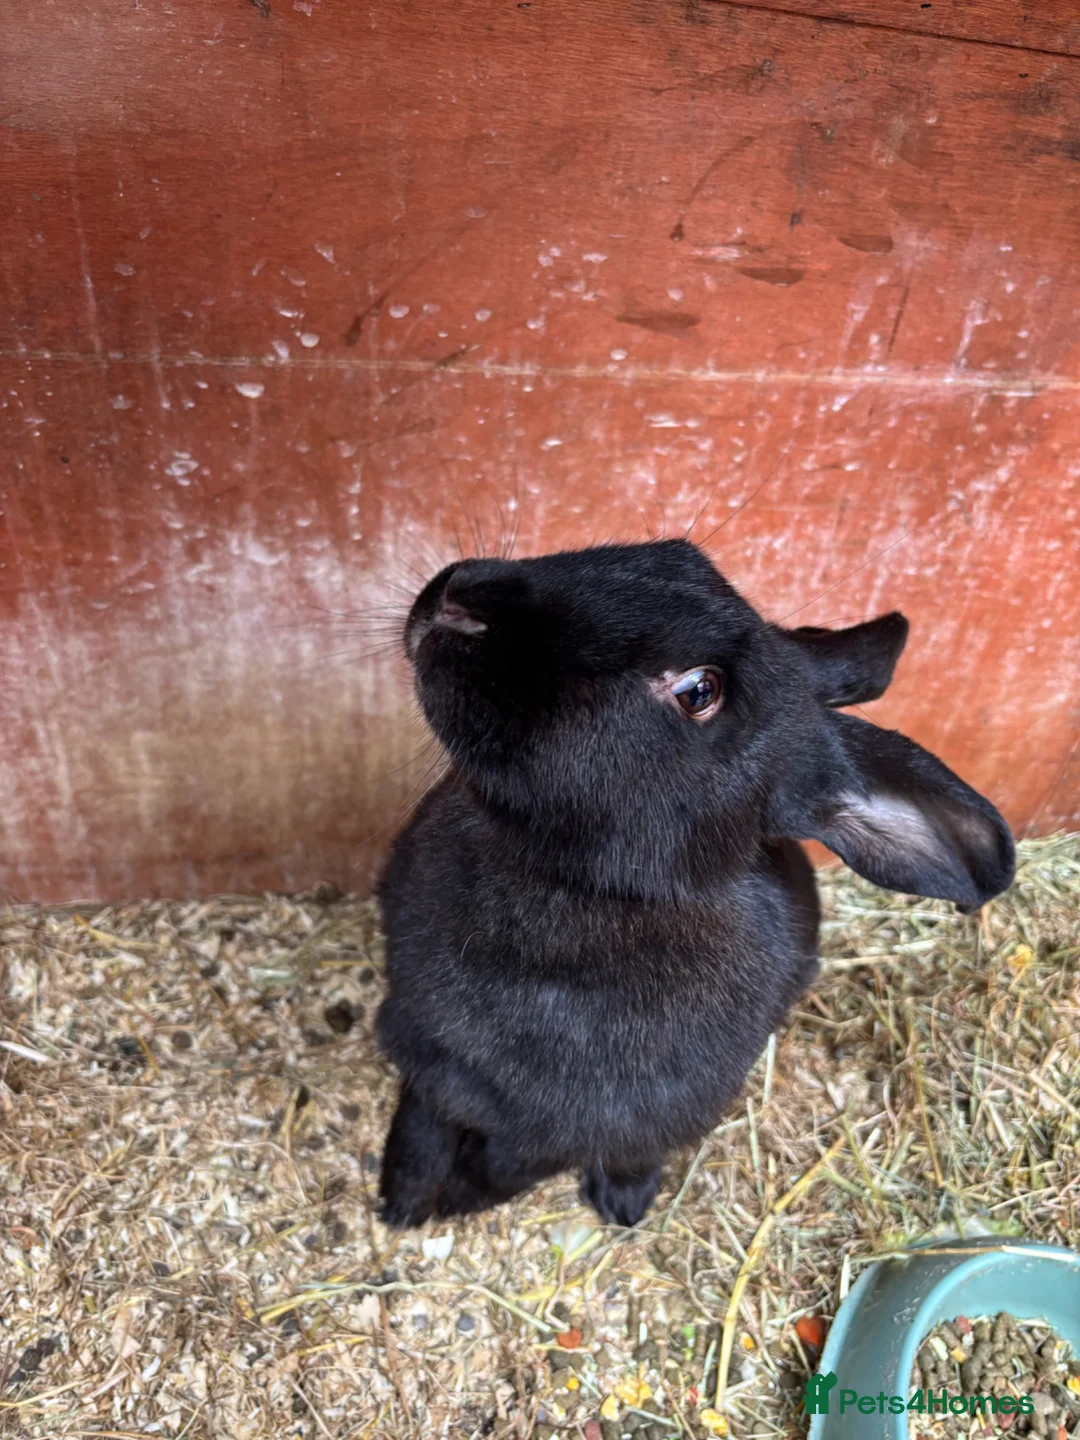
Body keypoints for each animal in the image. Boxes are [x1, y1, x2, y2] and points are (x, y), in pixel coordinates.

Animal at [375, 539, 1014, 1228]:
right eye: (675, 554)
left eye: (700, 691)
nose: (460, 602)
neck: (577, 882)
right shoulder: (426, 1049)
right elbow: (421, 1120)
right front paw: (402, 1200)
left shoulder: (573, 1125)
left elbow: (508, 1166)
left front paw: (453, 1200)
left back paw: (624, 1203)